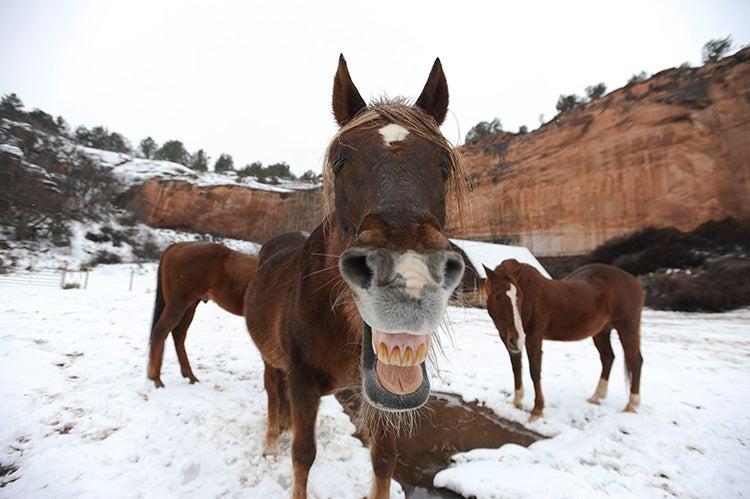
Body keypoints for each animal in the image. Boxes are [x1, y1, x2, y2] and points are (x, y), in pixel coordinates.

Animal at [146, 241, 260, 388]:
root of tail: (177, 246)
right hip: (177, 305)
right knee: (160, 332)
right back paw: (157, 379)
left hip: (189, 307)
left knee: (178, 335)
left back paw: (190, 375)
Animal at [243, 55, 467, 498]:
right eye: (340, 161)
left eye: (443, 163)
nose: (409, 274)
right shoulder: (302, 384)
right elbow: (303, 456)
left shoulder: (379, 399)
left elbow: (384, 460)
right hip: (271, 361)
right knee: (273, 396)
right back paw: (270, 442)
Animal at [483, 259, 644, 422]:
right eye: (497, 296)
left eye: (520, 296)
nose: (518, 337)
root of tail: (636, 283)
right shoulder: (507, 339)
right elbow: (516, 368)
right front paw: (517, 401)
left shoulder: (534, 337)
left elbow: (534, 370)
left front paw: (537, 410)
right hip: (601, 332)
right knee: (608, 357)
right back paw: (596, 397)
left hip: (628, 328)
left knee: (635, 360)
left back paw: (631, 404)